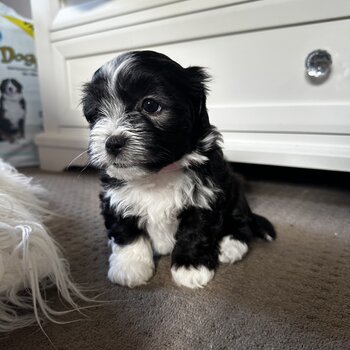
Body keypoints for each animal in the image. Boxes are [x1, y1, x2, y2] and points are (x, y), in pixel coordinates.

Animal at [82, 50, 276, 288]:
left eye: (150, 105)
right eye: (96, 113)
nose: (112, 143)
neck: (157, 175)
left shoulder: (205, 195)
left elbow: (195, 232)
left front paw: (190, 268)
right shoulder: (115, 198)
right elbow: (125, 231)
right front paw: (130, 267)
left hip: (234, 190)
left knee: (241, 222)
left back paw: (231, 245)